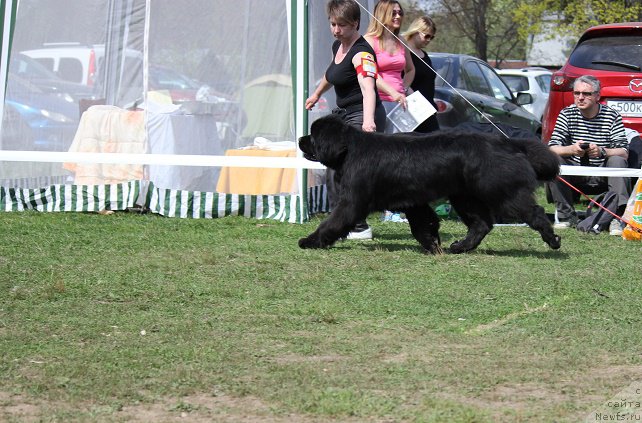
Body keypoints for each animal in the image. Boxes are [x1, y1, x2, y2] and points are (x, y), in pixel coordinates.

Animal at [298, 114, 556, 255]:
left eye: (313, 135)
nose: (300, 140)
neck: (349, 150)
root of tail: (510, 143)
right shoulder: (413, 202)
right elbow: (423, 225)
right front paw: (433, 245)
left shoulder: (352, 201)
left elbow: (333, 222)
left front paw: (310, 241)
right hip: (464, 197)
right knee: (481, 224)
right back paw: (460, 247)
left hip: (502, 192)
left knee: (534, 212)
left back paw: (552, 240)